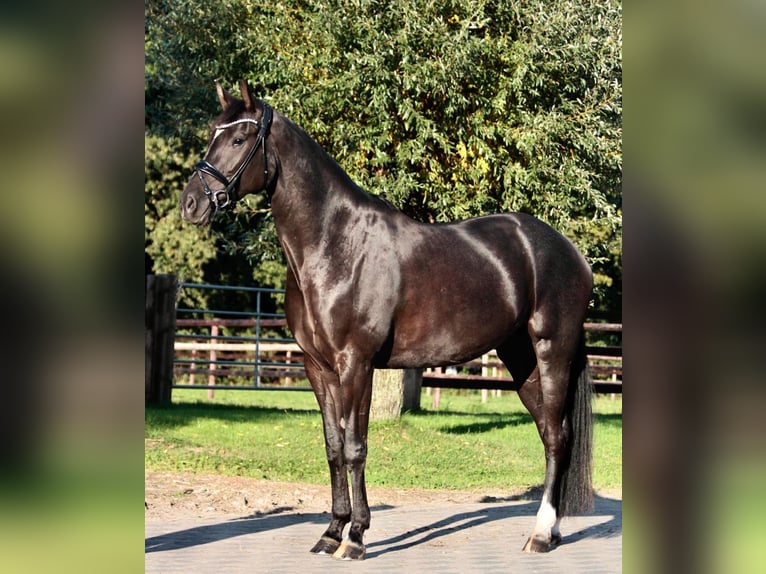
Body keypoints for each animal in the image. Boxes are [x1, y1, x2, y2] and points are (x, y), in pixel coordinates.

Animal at [180, 80, 594, 560]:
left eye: (239, 139)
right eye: (213, 132)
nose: (191, 203)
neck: (334, 244)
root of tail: (568, 250)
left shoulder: (356, 364)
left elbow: (356, 447)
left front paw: (356, 538)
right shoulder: (317, 367)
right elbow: (333, 447)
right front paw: (331, 532)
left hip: (552, 351)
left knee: (559, 438)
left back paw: (542, 535)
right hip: (520, 359)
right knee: (550, 433)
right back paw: (551, 531)